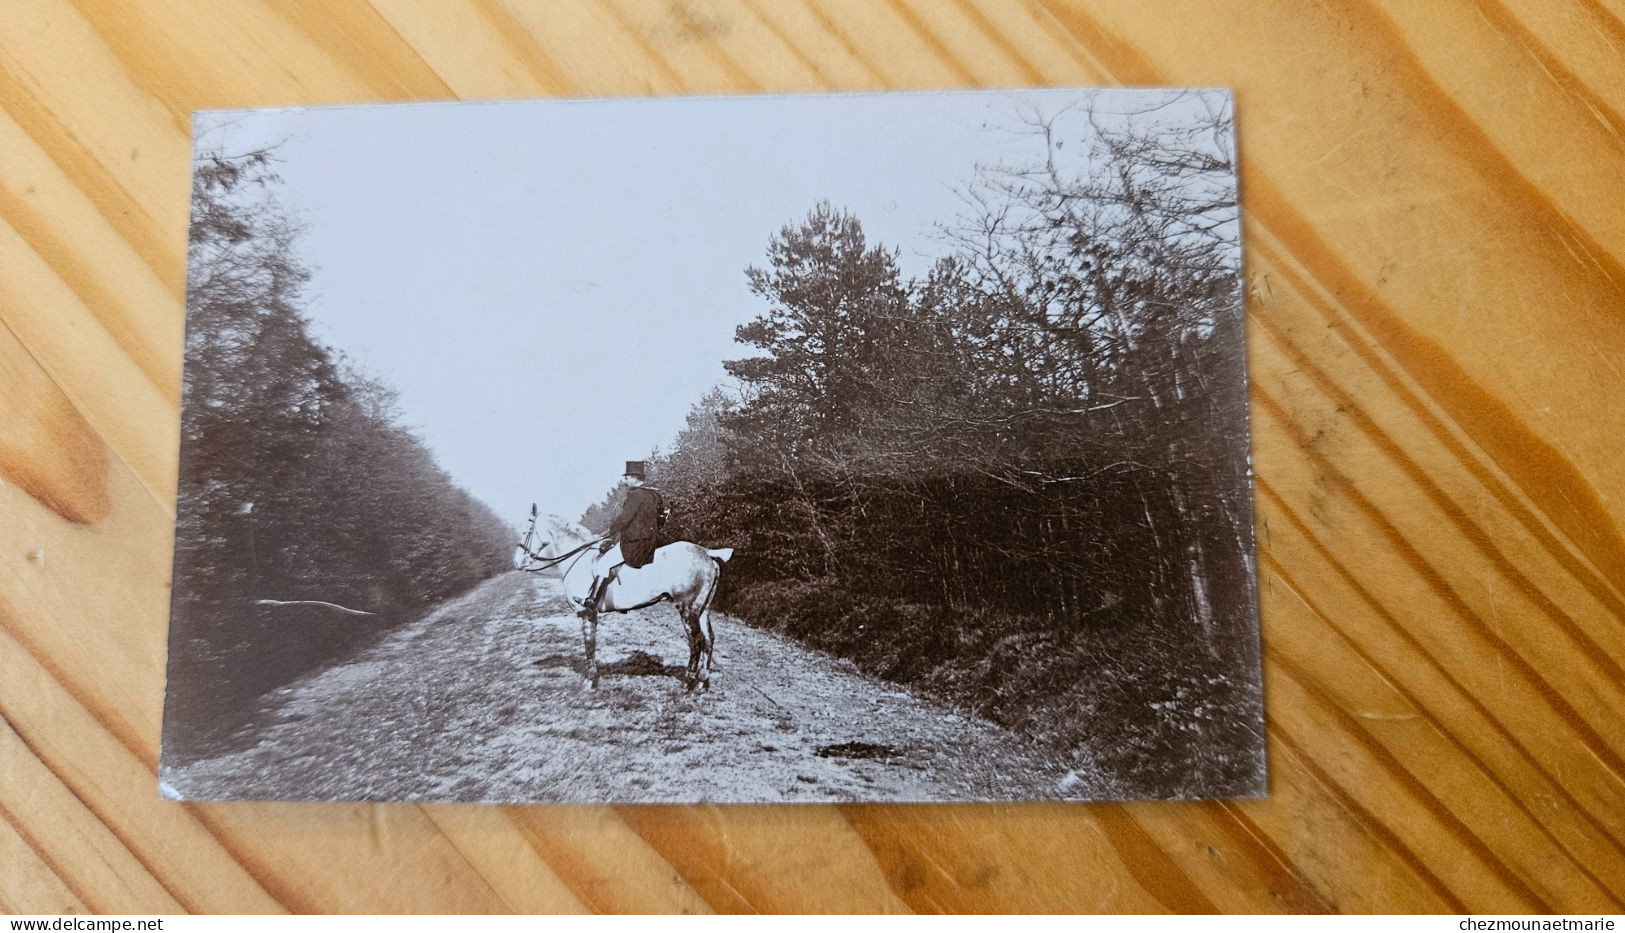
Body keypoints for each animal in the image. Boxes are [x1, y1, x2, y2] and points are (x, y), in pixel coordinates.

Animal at [526, 513, 737, 695]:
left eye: (527, 530)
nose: (521, 561)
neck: (580, 560)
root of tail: (707, 553)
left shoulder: (585, 612)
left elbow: (589, 644)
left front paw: (590, 680)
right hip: (702, 609)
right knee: (709, 640)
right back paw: (702, 682)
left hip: (687, 609)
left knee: (696, 642)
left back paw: (687, 683)